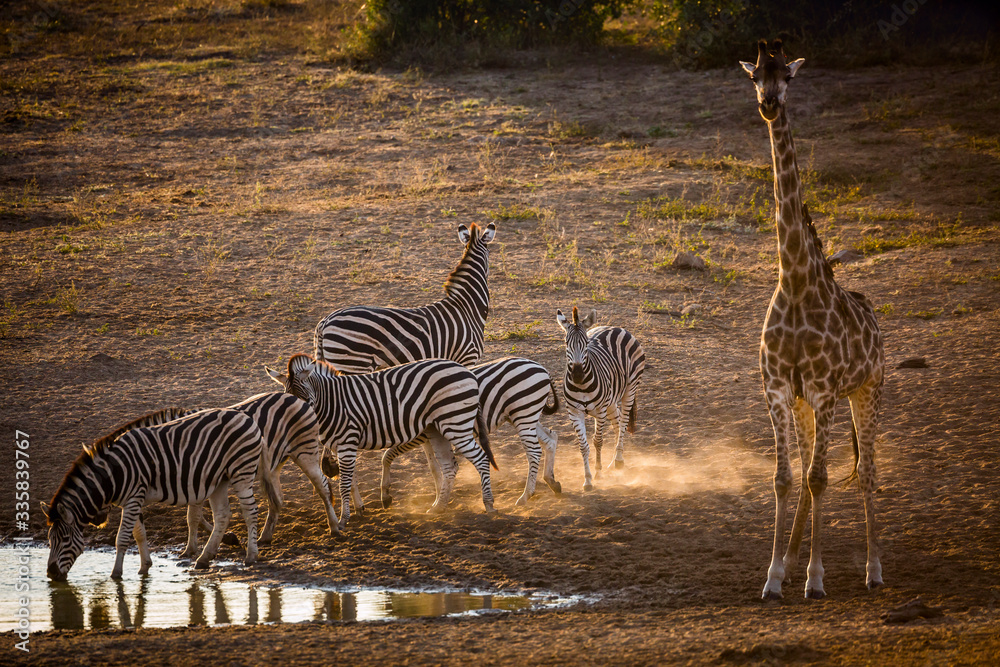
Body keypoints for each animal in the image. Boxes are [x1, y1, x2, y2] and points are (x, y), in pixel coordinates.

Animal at [42, 408, 263, 580]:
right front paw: (144, 567)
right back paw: (204, 558)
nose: (51, 574)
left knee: (250, 512)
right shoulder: (132, 500)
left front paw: (116, 574)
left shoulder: (134, 497)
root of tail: (244, 416)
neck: (113, 474)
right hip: (220, 480)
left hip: (241, 471)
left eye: (65, 539)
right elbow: (139, 534)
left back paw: (251, 556)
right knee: (223, 516)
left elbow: (122, 537)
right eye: (50, 539)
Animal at [265, 354, 497, 527]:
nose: (297, 427)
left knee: (481, 458)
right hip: (436, 428)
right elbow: (351, 479)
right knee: (449, 467)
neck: (332, 403)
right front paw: (358, 509)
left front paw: (343, 519)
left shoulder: (348, 440)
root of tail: (465, 370)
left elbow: (344, 483)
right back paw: (438, 507)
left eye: (306, 400)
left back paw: (488, 504)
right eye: (289, 401)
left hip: (455, 422)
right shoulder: (340, 444)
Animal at [359, 357, 563, 510]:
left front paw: (387, 495)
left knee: (534, 451)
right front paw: (439, 497)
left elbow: (387, 455)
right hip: (523, 416)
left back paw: (525, 496)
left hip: (523, 415)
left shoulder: (418, 436)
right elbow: (433, 467)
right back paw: (552, 482)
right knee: (550, 439)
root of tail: (541, 368)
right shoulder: (428, 436)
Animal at [557, 307, 646, 491]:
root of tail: (614, 327)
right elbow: (583, 446)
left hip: (630, 388)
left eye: (585, 344)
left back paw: (618, 460)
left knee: (623, 422)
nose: (577, 375)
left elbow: (597, 441)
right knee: (617, 424)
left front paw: (598, 473)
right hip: (610, 401)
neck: (582, 385)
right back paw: (614, 462)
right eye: (566, 344)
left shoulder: (600, 411)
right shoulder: (574, 413)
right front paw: (587, 479)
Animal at [740, 39, 886, 600]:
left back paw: (872, 570)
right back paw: (791, 559)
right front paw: (773, 576)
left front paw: (816, 578)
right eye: (755, 75)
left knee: (865, 472)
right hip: (810, 404)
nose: (769, 104)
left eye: (790, 77)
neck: (797, 281)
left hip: (867, 390)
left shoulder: (824, 390)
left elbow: (821, 478)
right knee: (806, 470)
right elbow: (785, 478)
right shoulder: (780, 388)